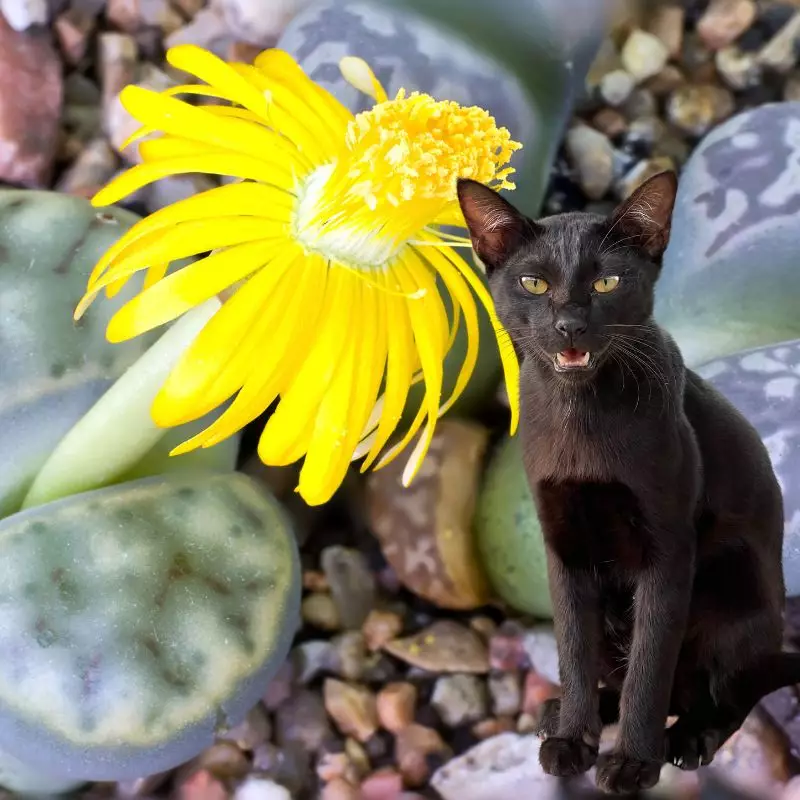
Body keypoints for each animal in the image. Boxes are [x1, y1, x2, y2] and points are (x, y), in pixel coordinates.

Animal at [456, 173, 800, 792]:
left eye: (607, 281)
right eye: (534, 283)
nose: (569, 324)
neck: (581, 419)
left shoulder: (668, 549)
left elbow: (650, 663)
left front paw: (634, 763)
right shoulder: (563, 547)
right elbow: (573, 648)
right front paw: (573, 737)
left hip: (733, 578)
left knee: (730, 689)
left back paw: (689, 738)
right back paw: (565, 713)